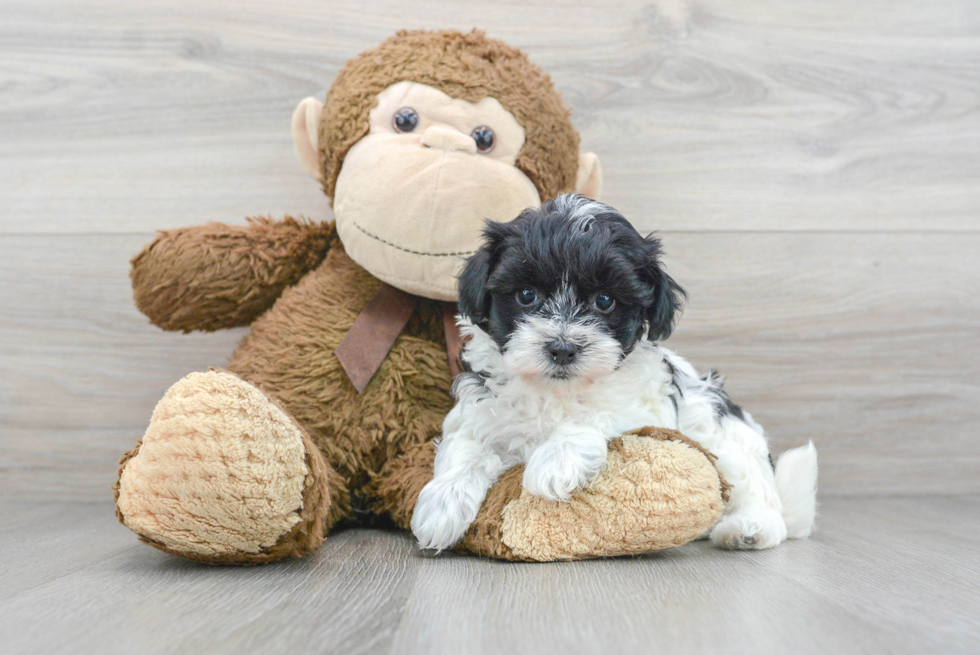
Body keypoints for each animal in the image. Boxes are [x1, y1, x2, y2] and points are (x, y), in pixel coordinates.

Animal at [410, 196, 816, 552]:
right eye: (527, 295)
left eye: (604, 301)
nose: (562, 348)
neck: (555, 392)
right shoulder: (479, 413)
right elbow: (465, 448)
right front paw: (441, 504)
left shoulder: (644, 408)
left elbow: (597, 415)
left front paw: (556, 459)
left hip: (730, 441)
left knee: (760, 496)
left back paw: (748, 529)